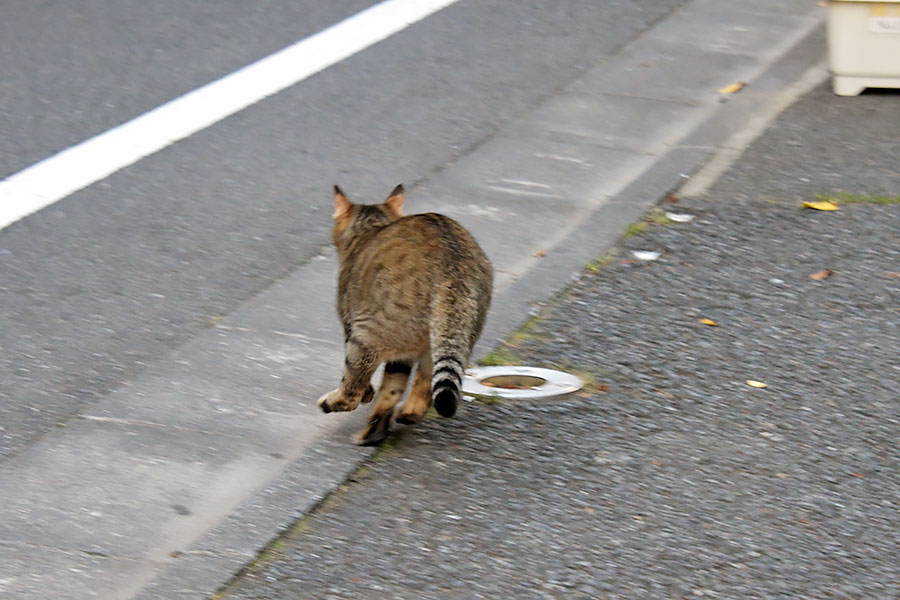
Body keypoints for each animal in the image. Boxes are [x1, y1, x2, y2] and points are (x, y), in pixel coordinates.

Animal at [318, 186, 492, 446]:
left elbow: (366, 384)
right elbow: (392, 386)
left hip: (368, 334)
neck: (369, 228)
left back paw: (333, 405)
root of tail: (454, 266)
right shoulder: (403, 356)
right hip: (443, 340)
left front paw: (368, 396)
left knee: (352, 391)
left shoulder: (350, 323)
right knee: (422, 389)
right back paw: (394, 421)